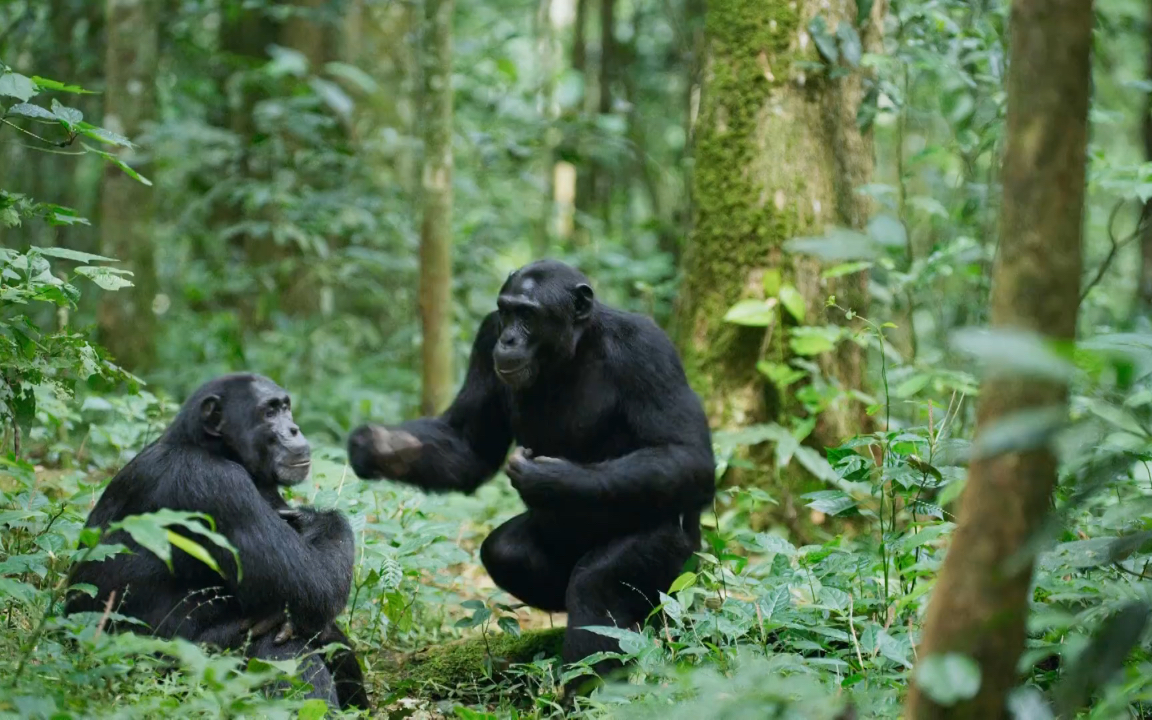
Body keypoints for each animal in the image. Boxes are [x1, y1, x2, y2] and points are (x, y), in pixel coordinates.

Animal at [65, 373, 368, 709]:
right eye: (269, 412)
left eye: (286, 408)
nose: (293, 428)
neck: (212, 448)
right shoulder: (219, 488)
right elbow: (314, 586)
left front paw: (307, 519)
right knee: (279, 645)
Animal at [345, 258, 714, 686]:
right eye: (506, 312)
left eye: (528, 315)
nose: (508, 340)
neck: (571, 351)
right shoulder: (484, 337)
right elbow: (469, 442)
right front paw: (376, 445)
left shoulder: (648, 349)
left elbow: (686, 455)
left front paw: (550, 479)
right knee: (506, 552)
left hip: (684, 562)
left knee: (597, 584)